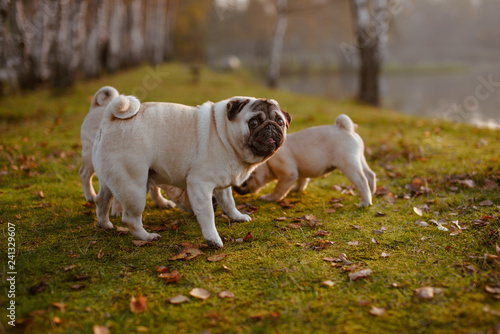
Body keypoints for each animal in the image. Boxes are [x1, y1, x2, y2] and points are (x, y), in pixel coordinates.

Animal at [80, 86, 189, 215]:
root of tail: (96, 107)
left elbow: (155, 188)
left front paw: (160, 202)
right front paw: (118, 210)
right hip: (90, 158)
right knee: (84, 174)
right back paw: (90, 195)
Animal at [92, 95, 292, 247]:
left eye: (280, 122)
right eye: (254, 122)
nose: (271, 127)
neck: (224, 134)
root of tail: (109, 121)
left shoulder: (222, 185)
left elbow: (229, 203)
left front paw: (237, 217)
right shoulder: (200, 185)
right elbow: (208, 215)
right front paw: (213, 239)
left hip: (110, 181)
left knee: (102, 202)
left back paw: (105, 224)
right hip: (133, 188)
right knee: (130, 219)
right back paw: (147, 237)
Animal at [233, 116, 376, 207]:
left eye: (243, 183)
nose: (235, 189)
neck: (266, 163)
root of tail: (345, 128)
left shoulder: (288, 174)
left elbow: (279, 190)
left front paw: (270, 197)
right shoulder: (300, 172)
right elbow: (302, 180)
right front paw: (297, 189)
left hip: (348, 164)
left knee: (361, 181)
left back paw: (365, 202)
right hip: (359, 159)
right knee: (370, 174)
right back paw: (372, 192)